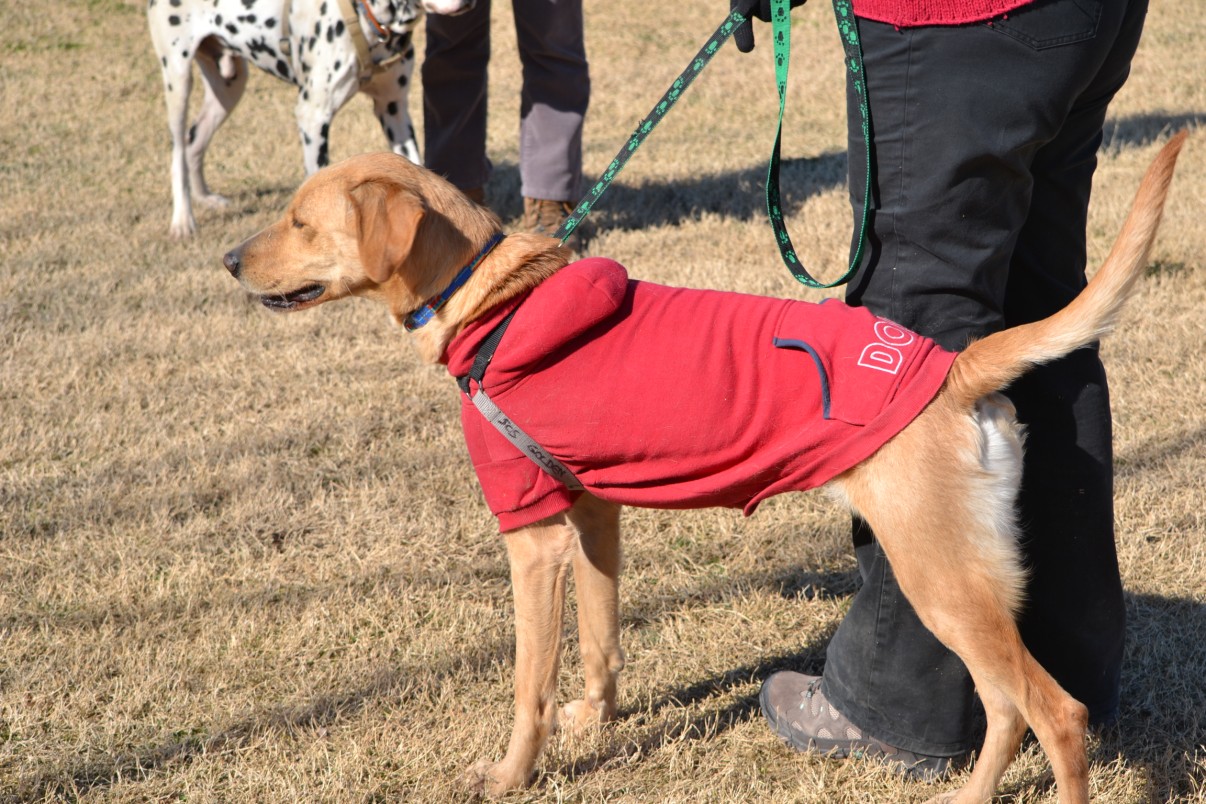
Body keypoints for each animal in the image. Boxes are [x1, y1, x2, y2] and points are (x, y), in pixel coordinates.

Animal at [147, 0, 429, 238]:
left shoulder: (393, 108)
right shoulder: (313, 116)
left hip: (229, 87)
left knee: (194, 140)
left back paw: (204, 197)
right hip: (178, 80)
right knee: (178, 151)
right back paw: (183, 220)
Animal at [222, 132, 1186, 801]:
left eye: (302, 221)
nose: (228, 259)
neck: (495, 302)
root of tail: (951, 367)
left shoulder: (530, 536)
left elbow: (528, 687)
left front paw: (510, 775)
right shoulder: (592, 512)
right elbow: (602, 640)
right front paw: (596, 720)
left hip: (940, 576)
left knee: (1055, 714)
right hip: (958, 582)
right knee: (1006, 709)